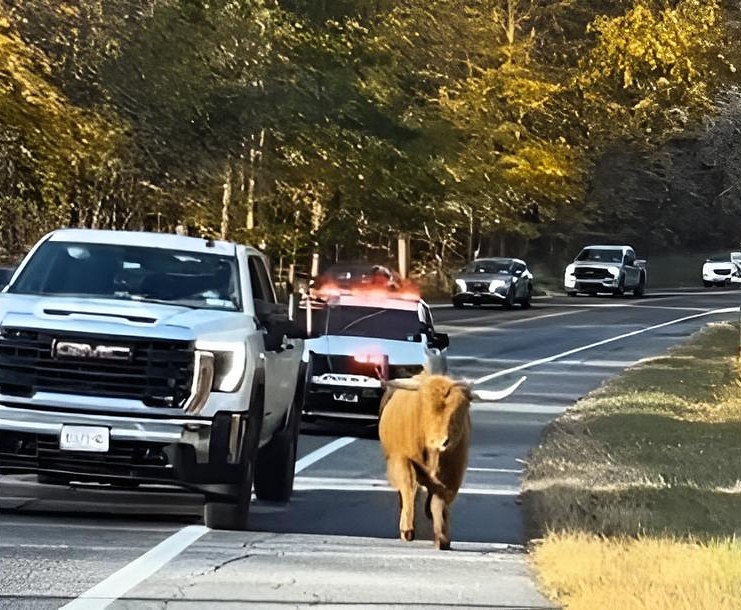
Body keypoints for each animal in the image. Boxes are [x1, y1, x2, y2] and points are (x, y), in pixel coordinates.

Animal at [378, 373, 526, 550]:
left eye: (461, 409)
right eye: (425, 406)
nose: (442, 441)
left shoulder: (452, 475)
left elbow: (438, 502)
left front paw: (442, 537)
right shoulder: (400, 459)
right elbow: (408, 488)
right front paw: (407, 530)